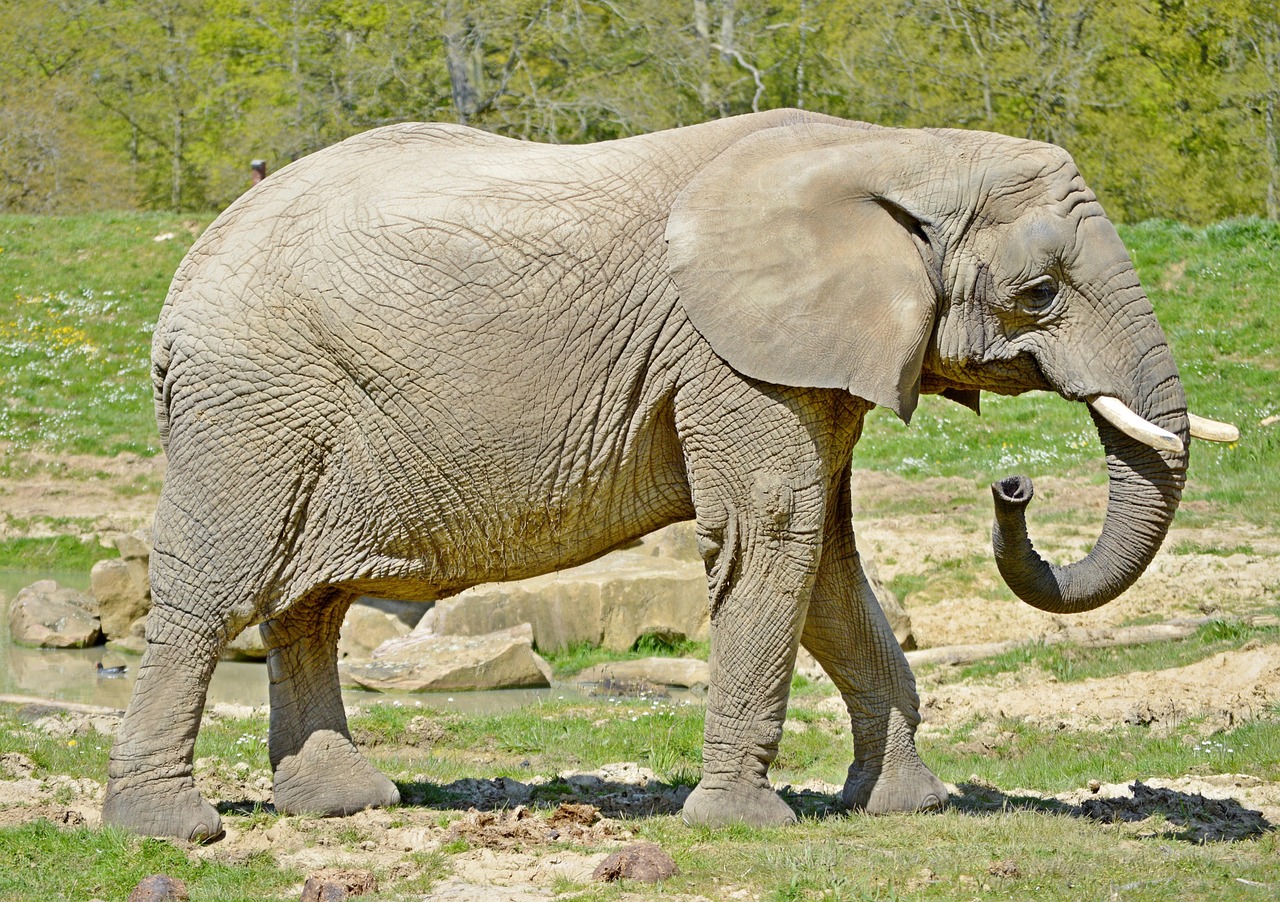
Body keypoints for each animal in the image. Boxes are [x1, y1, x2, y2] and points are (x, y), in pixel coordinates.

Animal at [101, 108, 1237, 841]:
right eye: (1039, 294)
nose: (1011, 488)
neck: (900, 148)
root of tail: (181, 286)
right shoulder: (728, 354)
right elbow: (773, 534)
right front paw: (742, 824)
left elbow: (826, 559)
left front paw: (906, 806)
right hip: (254, 399)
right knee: (220, 586)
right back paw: (168, 831)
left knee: (310, 598)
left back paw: (344, 805)